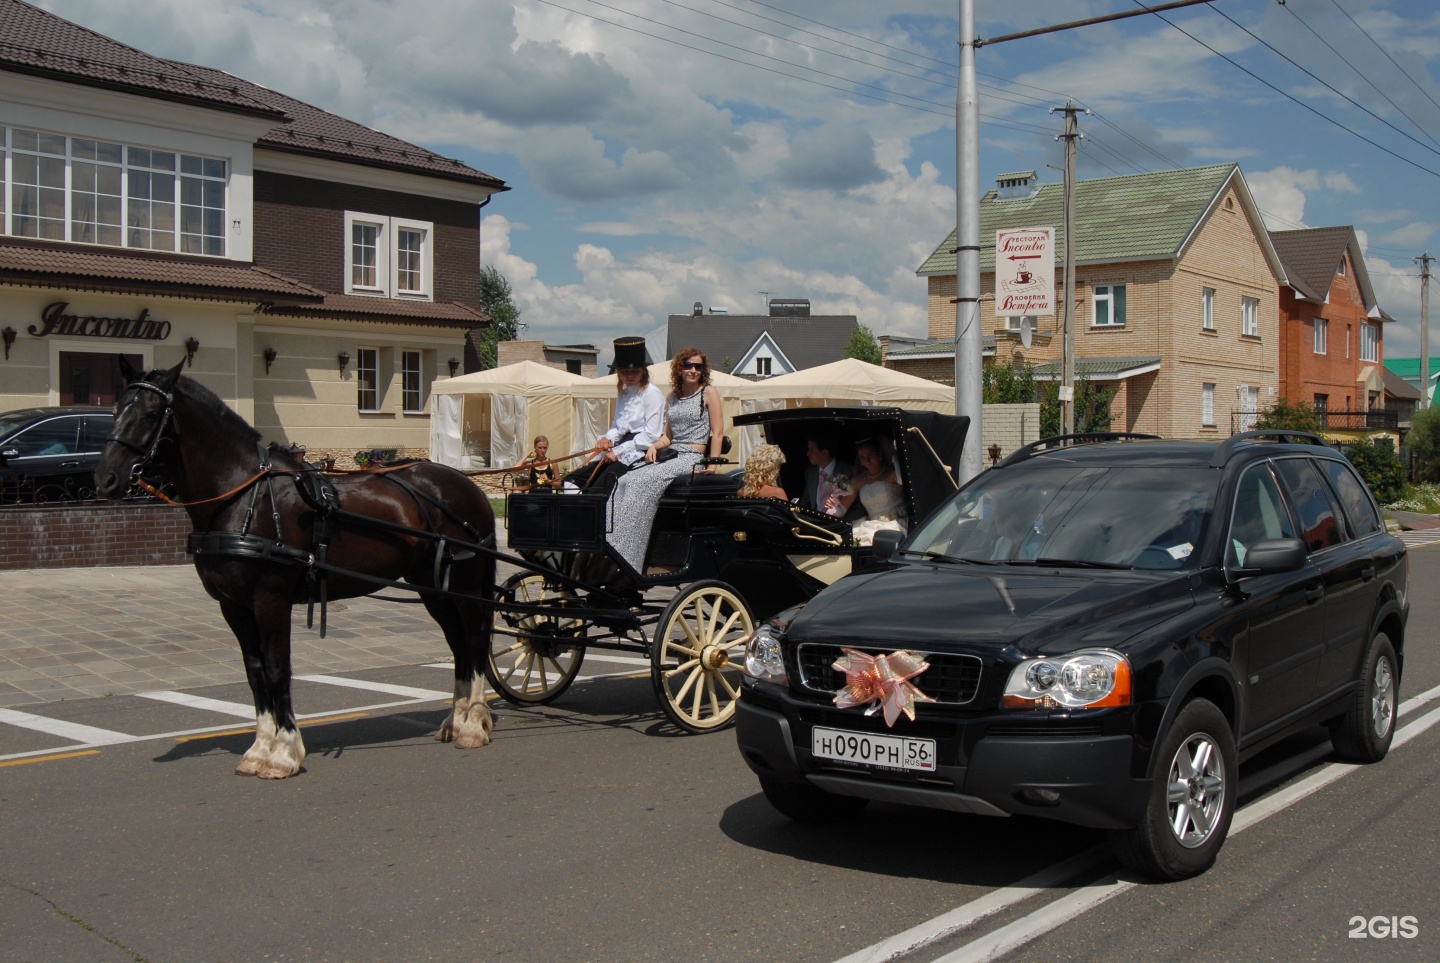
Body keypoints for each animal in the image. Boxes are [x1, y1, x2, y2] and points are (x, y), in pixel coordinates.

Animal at [94, 358, 495, 771]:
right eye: (116, 409)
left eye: (151, 413)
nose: (105, 478)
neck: (244, 496)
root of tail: (467, 484)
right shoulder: (233, 606)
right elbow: (255, 672)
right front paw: (259, 749)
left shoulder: (270, 599)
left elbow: (277, 668)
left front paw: (283, 752)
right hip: (431, 585)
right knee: (458, 642)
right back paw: (457, 718)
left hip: (465, 582)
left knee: (475, 637)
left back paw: (472, 725)